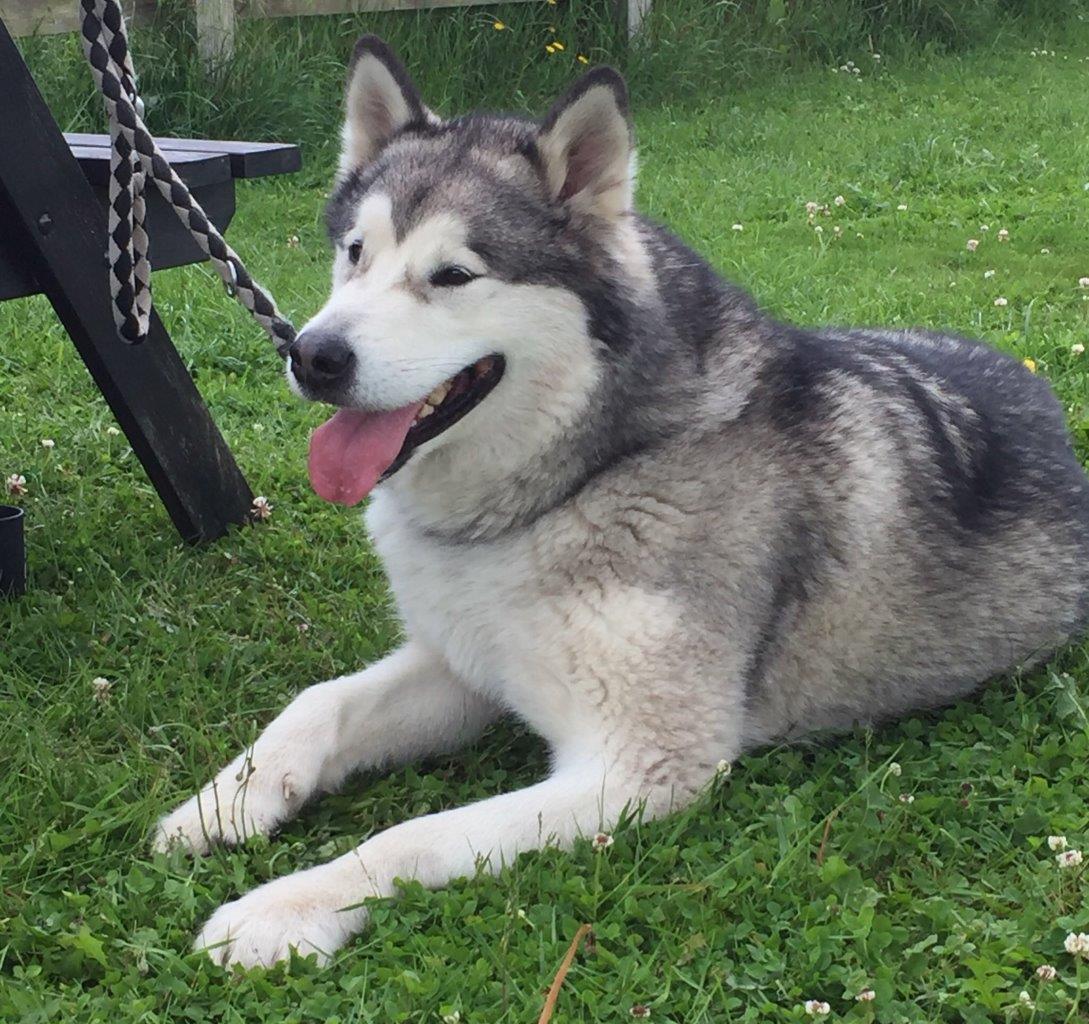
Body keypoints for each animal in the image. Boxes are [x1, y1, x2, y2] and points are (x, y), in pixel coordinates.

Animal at [157, 35, 1089, 967]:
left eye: (453, 275)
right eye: (355, 251)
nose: (313, 355)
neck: (575, 481)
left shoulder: (639, 764)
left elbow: (409, 837)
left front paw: (283, 908)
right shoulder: (465, 665)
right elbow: (318, 701)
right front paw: (228, 800)